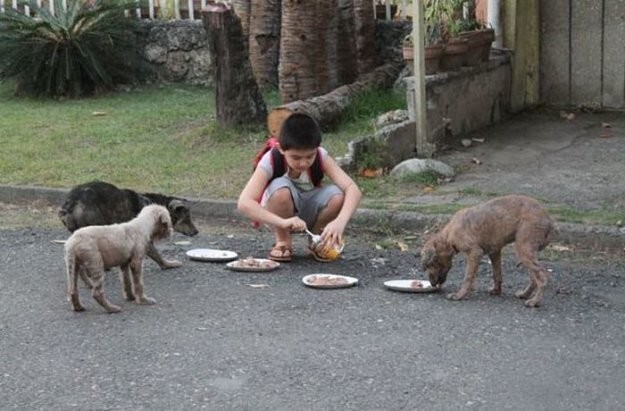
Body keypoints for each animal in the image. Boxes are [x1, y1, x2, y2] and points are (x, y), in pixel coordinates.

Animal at [422, 195, 552, 308]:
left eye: (430, 265)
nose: (432, 284)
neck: (448, 236)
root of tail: (548, 218)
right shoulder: (494, 252)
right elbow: (497, 274)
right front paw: (496, 291)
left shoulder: (475, 253)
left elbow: (468, 277)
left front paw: (459, 295)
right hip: (527, 252)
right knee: (534, 277)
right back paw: (525, 294)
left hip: (523, 249)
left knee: (542, 277)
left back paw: (535, 301)